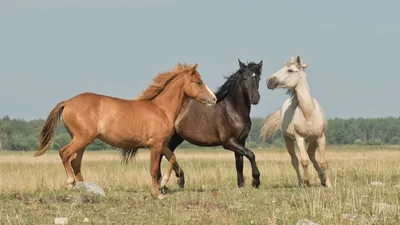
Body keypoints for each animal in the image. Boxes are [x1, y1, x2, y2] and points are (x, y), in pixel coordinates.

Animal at [32, 62, 217, 197]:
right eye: (199, 82)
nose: (214, 99)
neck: (161, 110)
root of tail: (68, 102)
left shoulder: (162, 144)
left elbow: (172, 158)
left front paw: (164, 183)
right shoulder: (155, 145)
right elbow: (153, 169)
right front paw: (157, 193)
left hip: (82, 141)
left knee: (75, 162)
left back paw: (86, 188)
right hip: (82, 138)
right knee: (64, 153)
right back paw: (71, 182)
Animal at [260, 55, 332, 187]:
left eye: (290, 70)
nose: (269, 81)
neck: (308, 113)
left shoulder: (321, 137)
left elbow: (324, 162)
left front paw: (328, 184)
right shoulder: (299, 138)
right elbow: (304, 161)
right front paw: (307, 182)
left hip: (313, 140)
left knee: (311, 154)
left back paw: (322, 178)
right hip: (288, 140)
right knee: (295, 160)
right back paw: (301, 182)